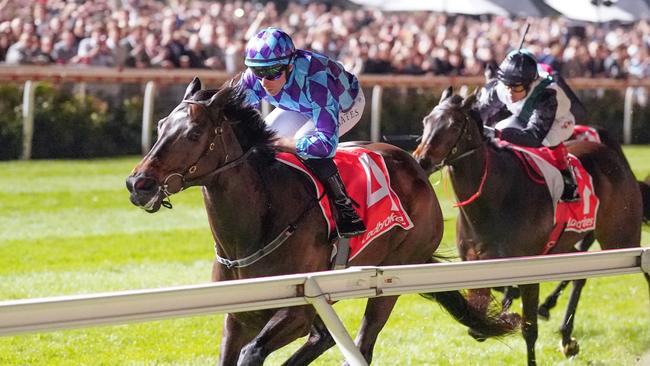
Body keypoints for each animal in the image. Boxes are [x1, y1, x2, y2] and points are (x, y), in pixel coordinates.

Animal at [124, 78, 512, 364]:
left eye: (193, 134)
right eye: (160, 126)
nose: (138, 184)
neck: (260, 219)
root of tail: (415, 167)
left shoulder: (295, 308)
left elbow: (253, 353)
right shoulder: (240, 314)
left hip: (393, 273)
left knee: (361, 345)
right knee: (324, 338)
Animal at [412, 88, 644, 366]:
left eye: (455, 124)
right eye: (426, 121)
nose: (421, 160)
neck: (494, 198)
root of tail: (612, 154)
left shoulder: (529, 268)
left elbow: (528, 329)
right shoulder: (476, 264)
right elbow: (479, 323)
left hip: (621, 238)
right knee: (579, 275)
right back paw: (565, 335)